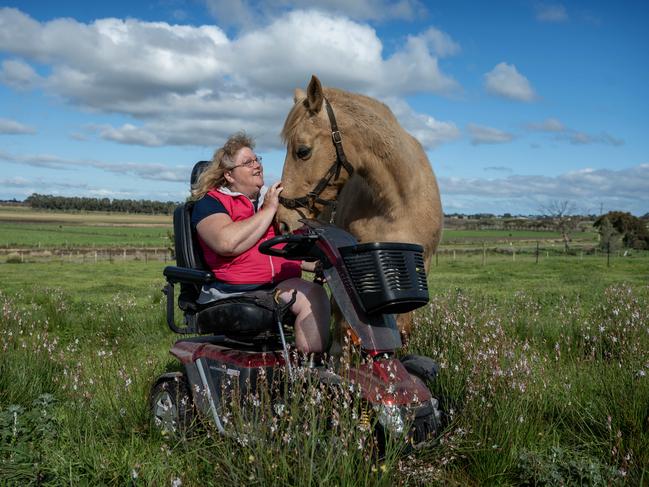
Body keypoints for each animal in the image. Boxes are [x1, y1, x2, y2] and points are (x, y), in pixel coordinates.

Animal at [276, 74, 442, 346]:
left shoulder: (418, 267)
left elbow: (401, 329)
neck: (397, 204)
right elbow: (350, 327)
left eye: (303, 151)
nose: (282, 221)